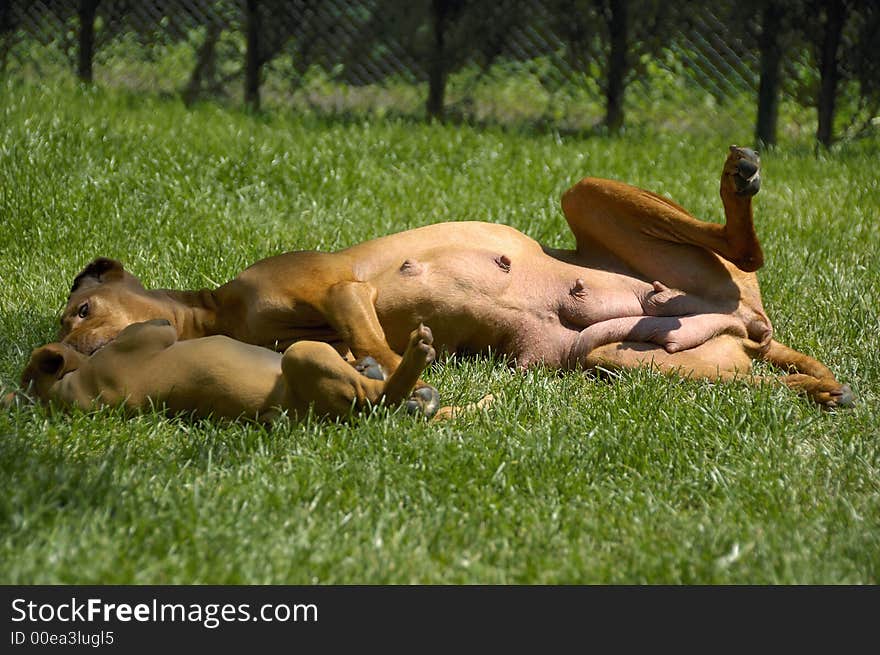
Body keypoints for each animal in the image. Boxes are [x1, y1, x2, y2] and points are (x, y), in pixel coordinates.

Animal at [55, 146, 852, 408]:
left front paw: (400, 376)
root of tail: (750, 318)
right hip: (636, 357)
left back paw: (738, 182)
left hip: (589, 195)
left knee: (743, 247)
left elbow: (371, 336)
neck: (218, 311)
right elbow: (352, 351)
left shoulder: (340, 288)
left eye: (80, 312)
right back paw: (819, 392)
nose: (61, 358)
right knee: (759, 379)